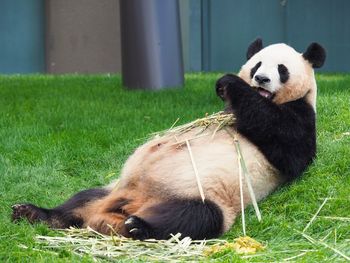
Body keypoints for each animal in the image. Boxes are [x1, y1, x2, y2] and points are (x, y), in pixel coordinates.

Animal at [11, 39, 326, 241]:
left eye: (281, 69)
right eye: (257, 64)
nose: (261, 79)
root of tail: (112, 215)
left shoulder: (301, 118)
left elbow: (286, 143)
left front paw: (229, 84)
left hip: (201, 196)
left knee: (194, 217)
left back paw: (138, 228)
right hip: (112, 188)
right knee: (81, 198)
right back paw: (34, 214)